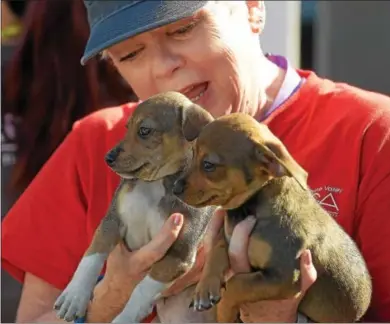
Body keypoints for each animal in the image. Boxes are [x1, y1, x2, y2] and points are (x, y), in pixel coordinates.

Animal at [53, 92, 216, 324]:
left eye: (145, 130)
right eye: (126, 128)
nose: (108, 158)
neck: (154, 184)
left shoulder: (179, 254)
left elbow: (141, 289)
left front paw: (124, 318)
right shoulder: (111, 222)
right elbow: (91, 257)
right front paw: (74, 296)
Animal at [173, 112, 372, 322]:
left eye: (208, 165)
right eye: (192, 154)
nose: (175, 188)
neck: (252, 206)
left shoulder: (285, 276)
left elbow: (236, 283)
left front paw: (224, 311)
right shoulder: (226, 235)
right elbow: (216, 251)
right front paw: (204, 288)